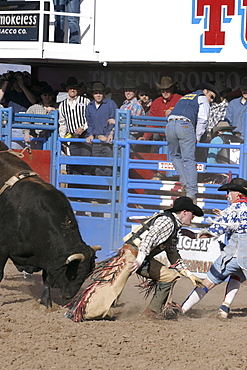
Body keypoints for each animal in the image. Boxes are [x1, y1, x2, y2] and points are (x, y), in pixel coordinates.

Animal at [0, 143, 97, 308]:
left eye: (86, 274)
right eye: (73, 273)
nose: (67, 296)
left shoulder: (47, 255)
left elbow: (46, 278)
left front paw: (46, 303)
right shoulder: (3, 247)